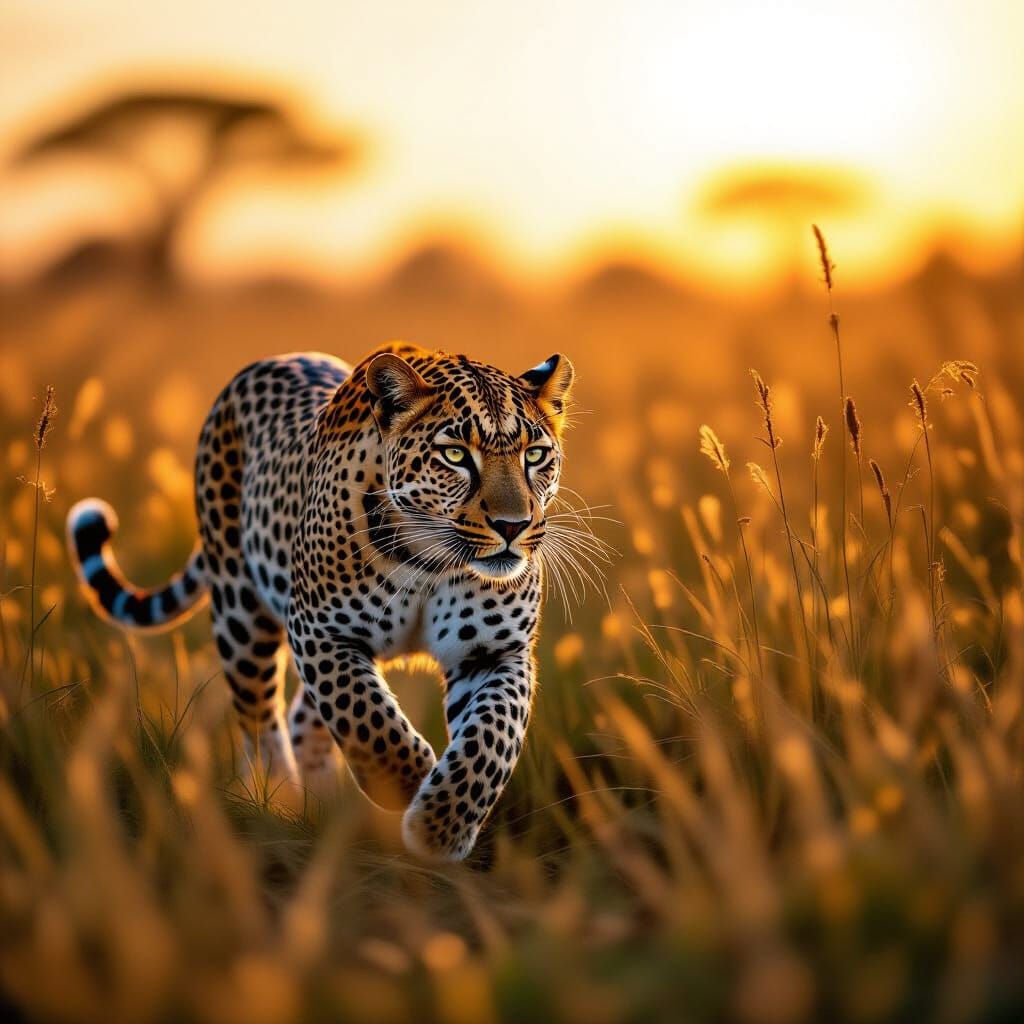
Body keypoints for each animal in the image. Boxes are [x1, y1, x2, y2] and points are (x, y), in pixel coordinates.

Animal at [66, 342, 574, 861]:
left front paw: (441, 825)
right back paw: (278, 801)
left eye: (535, 455)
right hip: (240, 613)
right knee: (260, 719)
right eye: (455, 454)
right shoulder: (320, 630)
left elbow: (490, 739)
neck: (430, 560)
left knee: (301, 719)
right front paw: (405, 783)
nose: (513, 526)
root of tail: (268, 361)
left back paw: (322, 801)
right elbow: (366, 718)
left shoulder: (495, 652)